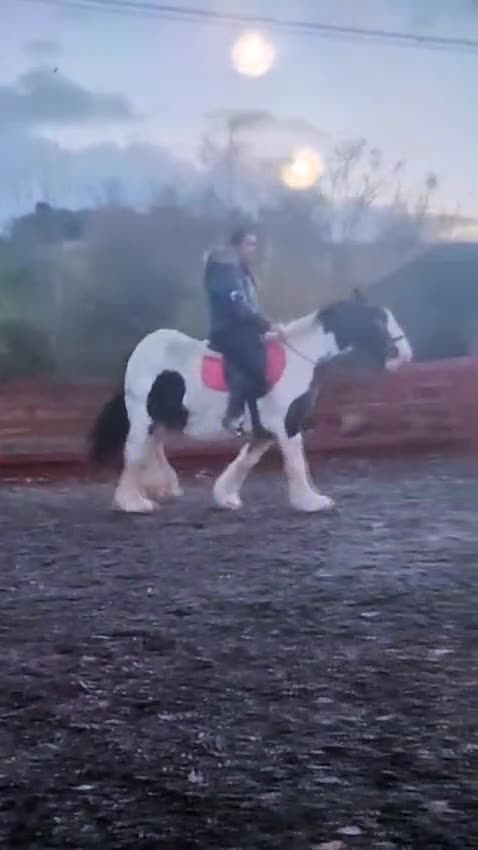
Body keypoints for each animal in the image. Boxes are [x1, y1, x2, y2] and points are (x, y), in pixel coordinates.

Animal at [90, 296, 412, 513]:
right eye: (377, 320)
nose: (404, 355)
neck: (301, 358)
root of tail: (139, 350)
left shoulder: (265, 430)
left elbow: (247, 460)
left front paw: (226, 497)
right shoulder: (287, 424)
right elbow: (297, 462)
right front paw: (311, 502)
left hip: (160, 418)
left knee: (152, 448)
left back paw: (163, 488)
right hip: (144, 418)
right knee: (134, 452)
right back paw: (134, 503)